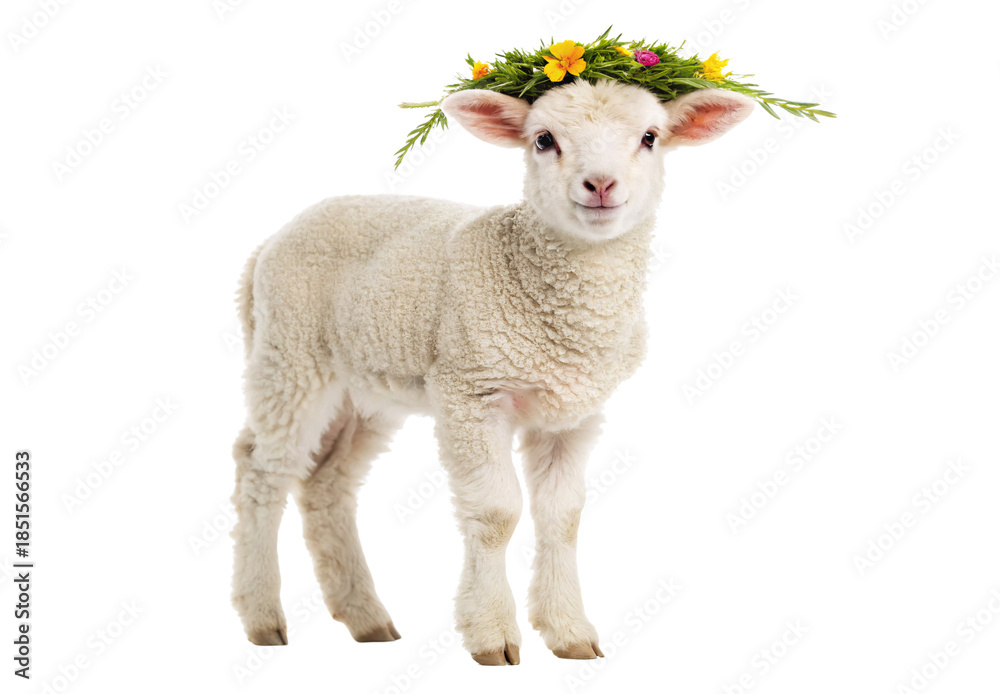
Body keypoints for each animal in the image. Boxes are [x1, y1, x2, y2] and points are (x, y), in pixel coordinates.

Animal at [230, 78, 754, 665]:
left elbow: (563, 516)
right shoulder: (471, 392)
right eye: (544, 139)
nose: (600, 184)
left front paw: (569, 631)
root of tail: (269, 243)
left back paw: (366, 618)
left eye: (650, 137)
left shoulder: (573, 413)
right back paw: (261, 616)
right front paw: (492, 634)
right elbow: (498, 513)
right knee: (261, 470)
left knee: (327, 482)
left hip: (365, 385)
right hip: (291, 354)